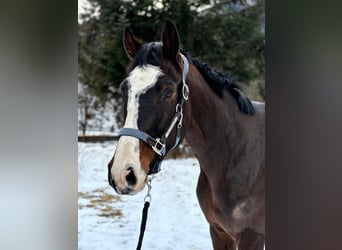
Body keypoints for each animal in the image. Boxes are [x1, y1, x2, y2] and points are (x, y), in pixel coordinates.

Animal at [107, 18, 264, 249]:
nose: (123, 172)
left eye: (168, 91)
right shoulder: (219, 232)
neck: (234, 155)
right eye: (123, 89)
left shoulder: (251, 235)